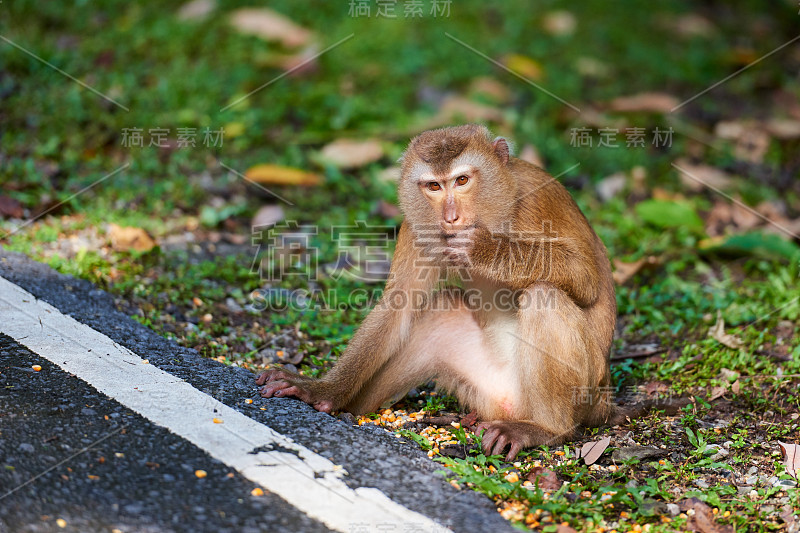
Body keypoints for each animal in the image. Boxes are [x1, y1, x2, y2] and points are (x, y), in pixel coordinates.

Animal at [260, 123, 616, 458]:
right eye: (434, 186)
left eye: (461, 180)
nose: (451, 217)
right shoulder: (418, 228)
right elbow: (397, 306)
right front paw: (324, 390)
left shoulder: (538, 201)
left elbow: (584, 276)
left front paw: (483, 249)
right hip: (485, 390)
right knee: (441, 309)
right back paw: (347, 406)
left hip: (587, 396)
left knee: (545, 296)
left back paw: (544, 428)